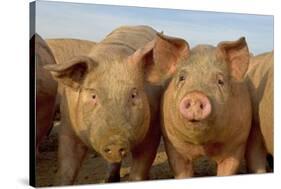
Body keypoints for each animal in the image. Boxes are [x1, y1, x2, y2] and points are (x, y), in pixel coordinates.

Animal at [43, 25, 186, 185]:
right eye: (93, 95)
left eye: (133, 95)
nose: (115, 141)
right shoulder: (68, 126)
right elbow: (66, 168)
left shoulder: (153, 127)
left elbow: (140, 168)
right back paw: (109, 180)